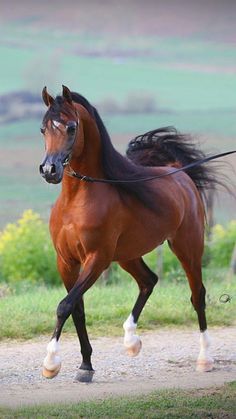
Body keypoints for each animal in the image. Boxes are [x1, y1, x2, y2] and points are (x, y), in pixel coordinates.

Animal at [39, 84, 222, 380]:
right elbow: (77, 309)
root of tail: (178, 173)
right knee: (149, 280)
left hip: (187, 248)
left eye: (71, 127)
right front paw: (85, 366)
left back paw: (205, 359)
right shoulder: (66, 261)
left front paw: (51, 362)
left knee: (198, 295)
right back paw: (131, 341)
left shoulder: (97, 260)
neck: (76, 201)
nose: (49, 170)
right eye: (43, 128)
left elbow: (64, 305)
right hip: (127, 255)